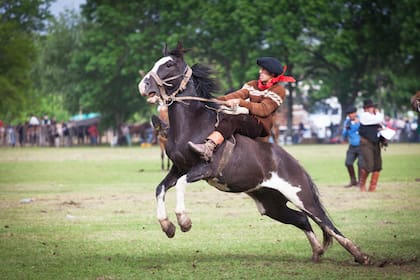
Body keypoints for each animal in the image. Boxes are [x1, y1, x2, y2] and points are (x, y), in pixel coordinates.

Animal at [138, 42, 368, 264]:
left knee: (328, 225)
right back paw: (318, 252)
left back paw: (360, 255)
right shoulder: (179, 168)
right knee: (302, 220)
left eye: (169, 64)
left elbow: (182, 184)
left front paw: (184, 221)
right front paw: (168, 226)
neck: (194, 123)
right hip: (271, 203)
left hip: (302, 197)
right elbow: (160, 188)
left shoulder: (204, 169)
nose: (144, 85)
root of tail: (293, 163)